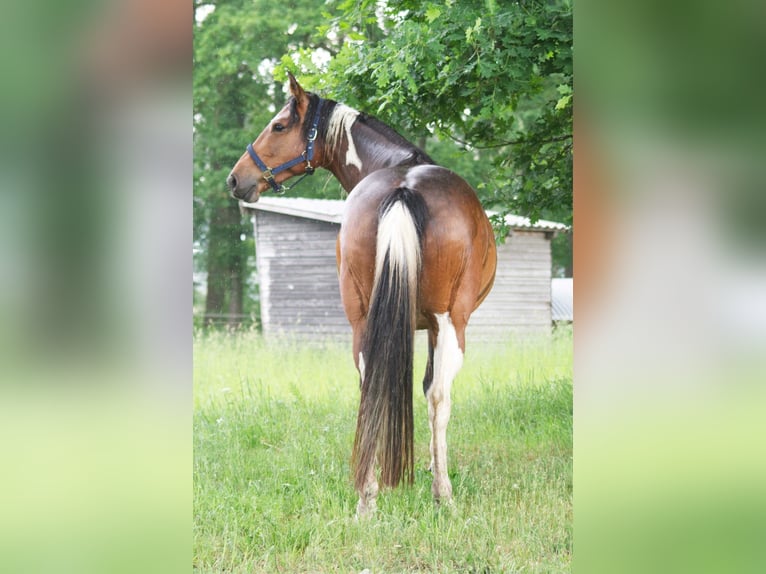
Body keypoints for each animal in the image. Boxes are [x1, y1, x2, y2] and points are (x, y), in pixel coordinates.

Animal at [226, 72, 498, 516]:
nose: (236, 179)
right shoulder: (435, 325)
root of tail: (404, 188)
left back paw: (367, 498)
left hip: (365, 319)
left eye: (278, 126)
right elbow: (430, 391)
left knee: (372, 390)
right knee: (440, 396)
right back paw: (442, 494)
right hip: (449, 321)